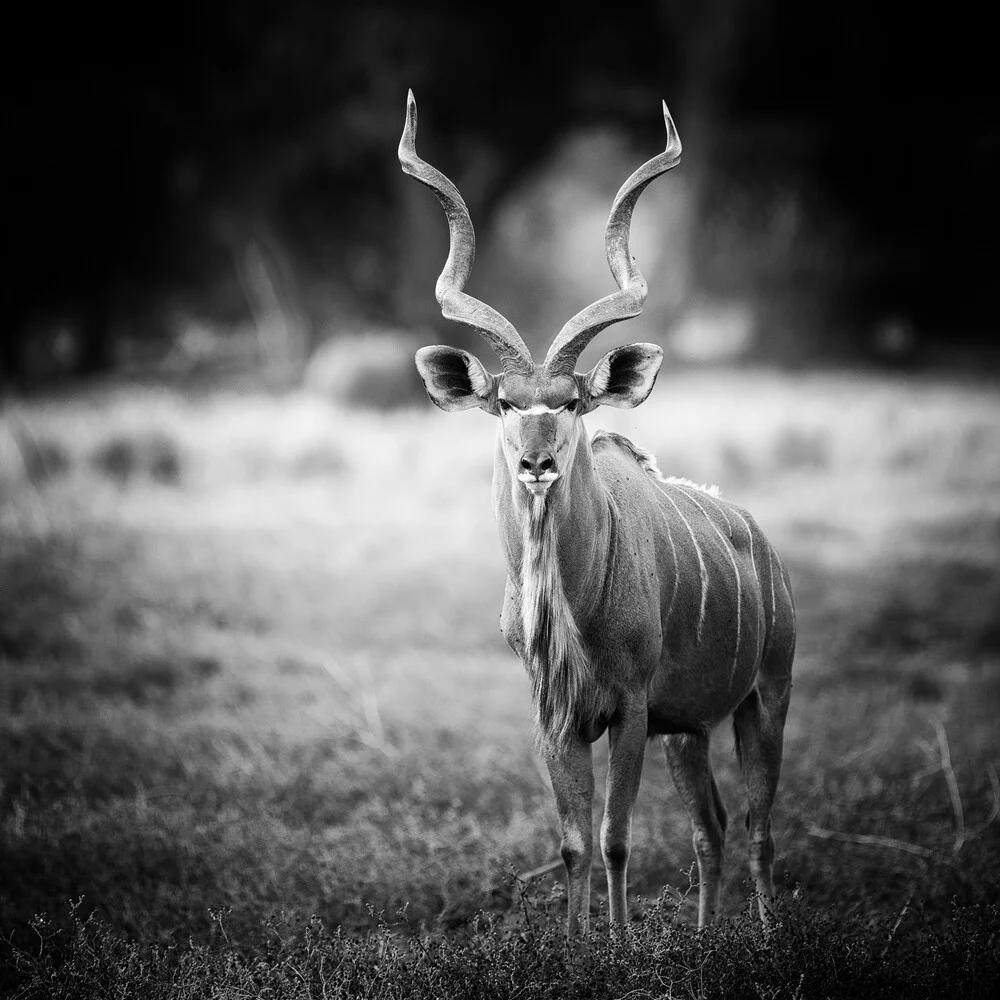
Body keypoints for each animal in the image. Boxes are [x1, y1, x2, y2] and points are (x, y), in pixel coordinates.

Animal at [400, 92, 796, 928]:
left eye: (574, 401)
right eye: (504, 403)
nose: (537, 462)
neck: (570, 608)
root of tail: (763, 543)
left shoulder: (630, 709)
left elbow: (615, 838)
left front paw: (614, 941)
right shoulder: (557, 714)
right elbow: (574, 842)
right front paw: (577, 941)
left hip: (765, 696)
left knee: (757, 825)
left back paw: (766, 935)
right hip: (690, 730)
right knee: (711, 825)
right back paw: (709, 937)